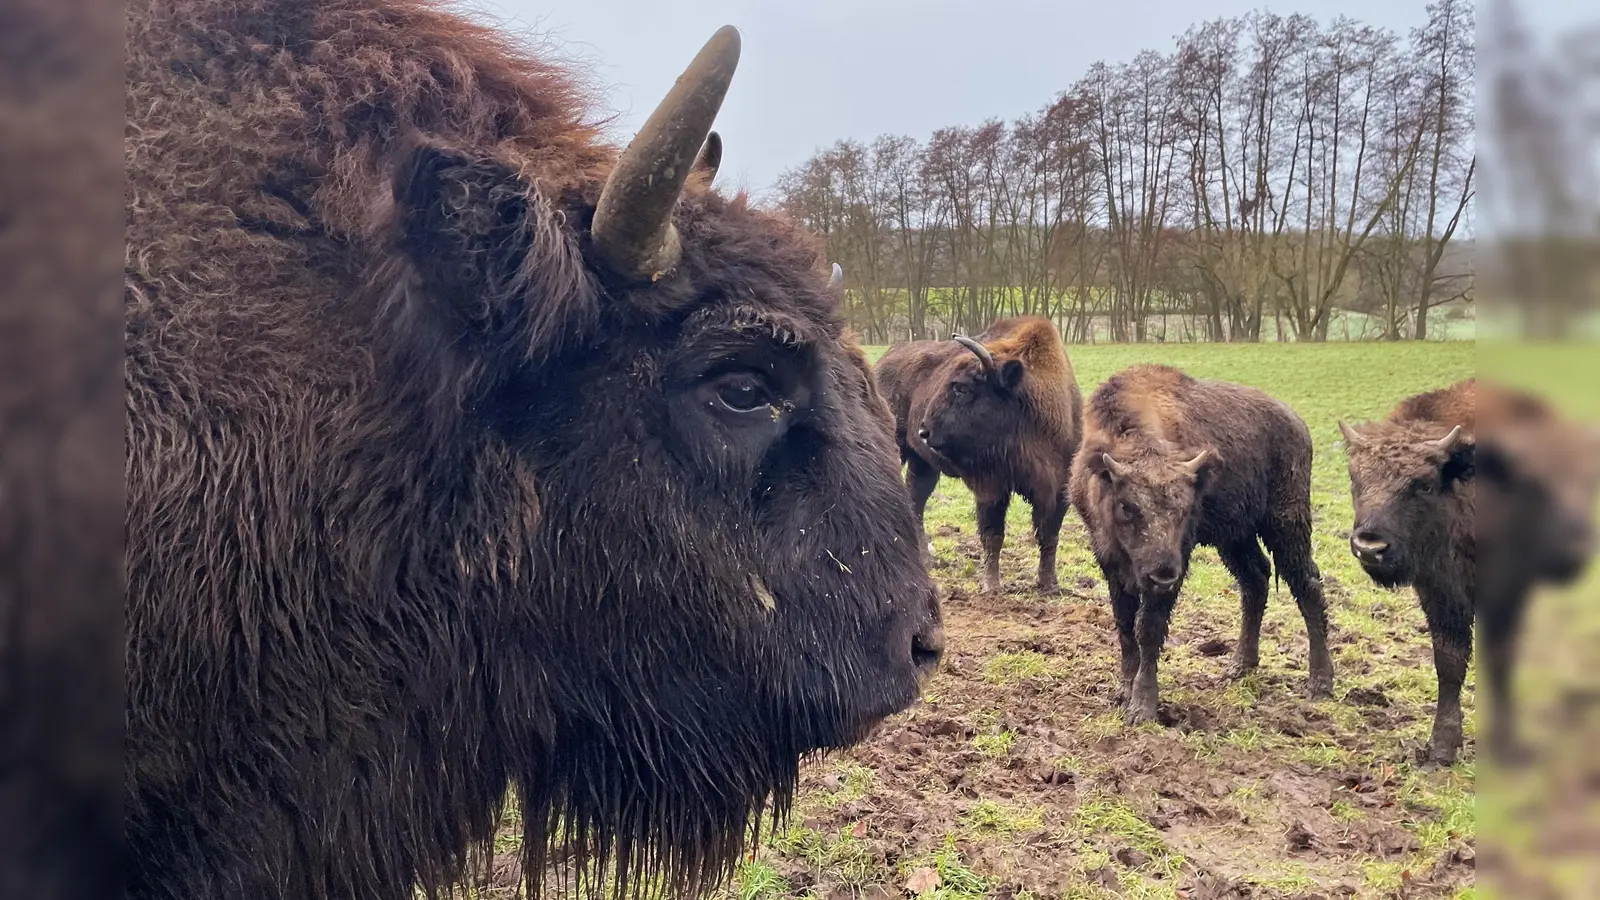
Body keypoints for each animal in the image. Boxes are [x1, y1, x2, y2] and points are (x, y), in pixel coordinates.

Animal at [876, 317, 1088, 595]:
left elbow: (1049, 535)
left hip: (923, 463)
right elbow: (993, 535)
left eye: (963, 388)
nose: (924, 431)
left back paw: (926, 558)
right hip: (899, 448)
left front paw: (1049, 585)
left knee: (916, 501)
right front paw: (992, 586)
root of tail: (884, 360)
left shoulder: (1059, 488)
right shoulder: (992, 487)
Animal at [1075, 365, 1337, 720]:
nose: (1162, 573)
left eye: (1187, 509)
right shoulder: (1109, 560)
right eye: (1127, 506)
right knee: (1256, 580)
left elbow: (1148, 628)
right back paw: (1239, 667)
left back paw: (1320, 683)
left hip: (1286, 524)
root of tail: (1297, 424)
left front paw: (1143, 707)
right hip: (1236, 536)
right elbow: (1124, 625)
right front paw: (1123, 691)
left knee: (1308, 586)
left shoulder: (1178, 559)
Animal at [1337, 377, 1600, 762]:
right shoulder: (1440, 588)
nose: (1370, 547)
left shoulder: (1510, 588)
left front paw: (1508, 746)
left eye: (1424, 484)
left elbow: (1500, 658)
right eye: (1356, 480)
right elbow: (1450, 660)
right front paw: (1443, 747)